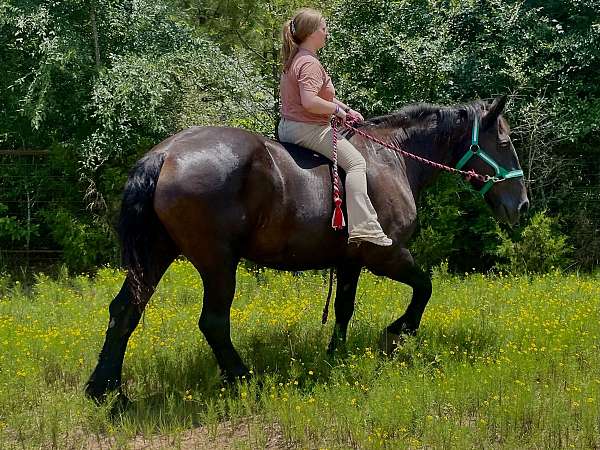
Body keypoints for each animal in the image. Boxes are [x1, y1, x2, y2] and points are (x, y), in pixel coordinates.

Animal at [85, 96, 528, 402]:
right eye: (505, 141)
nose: (522, 205)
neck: (390, 160)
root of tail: (165, 155)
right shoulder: (385, 255)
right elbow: (425, 287)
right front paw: (398, 332)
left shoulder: (350, 262)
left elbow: (344, 308)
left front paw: (337, 354)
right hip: (217, 263)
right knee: (212, 323)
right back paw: (243, 378)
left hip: (156, 255)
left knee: (125, 311)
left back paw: (107, 391)